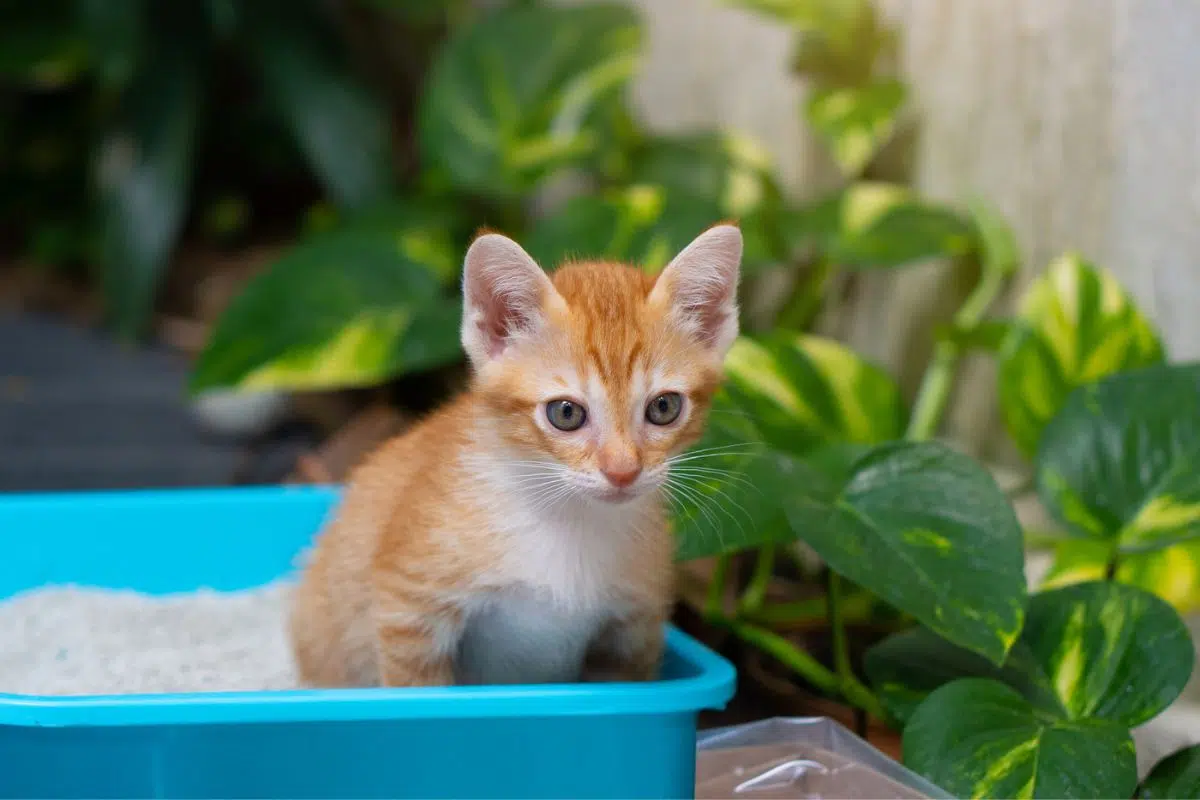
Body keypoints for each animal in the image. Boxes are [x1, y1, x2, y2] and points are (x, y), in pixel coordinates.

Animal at [288, 224, 739, 690]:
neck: (567, 519)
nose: (622, 471)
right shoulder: (407, 606)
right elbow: (420, 689)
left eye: (664, 407)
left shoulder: (634, 629)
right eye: (566, 413)